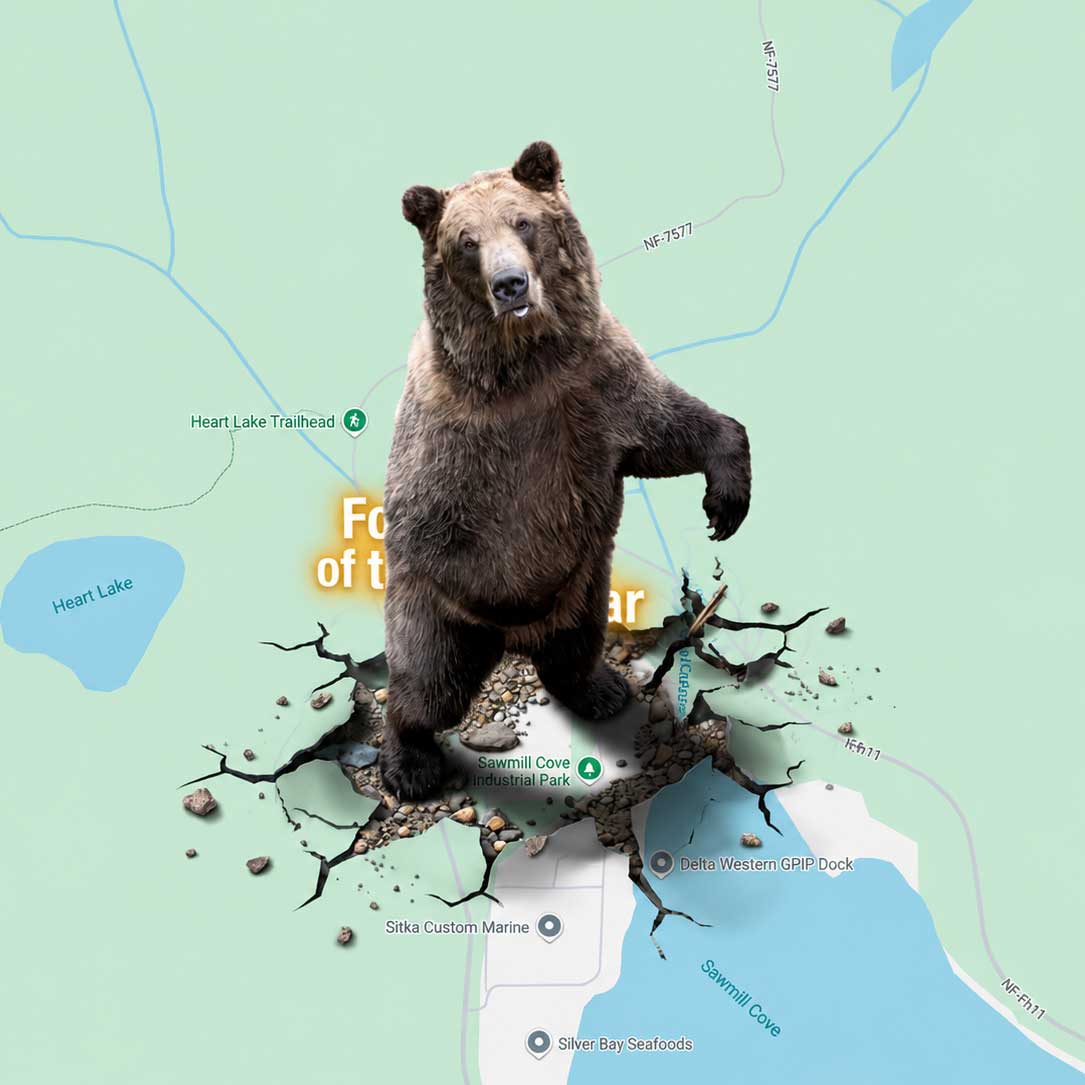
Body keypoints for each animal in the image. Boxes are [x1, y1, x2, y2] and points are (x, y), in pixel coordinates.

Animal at [379, 141, 751, 800]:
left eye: (524, 221)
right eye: (467, 240)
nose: (510, 283)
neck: (526, 362)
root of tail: (512, 639)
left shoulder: (596, 383)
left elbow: (670, 428)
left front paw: (725, 503)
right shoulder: (456, 438)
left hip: (582, 587)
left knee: (572, 648)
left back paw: (601, 688)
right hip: (436, 608)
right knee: (428, 685)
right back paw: (411, 764)